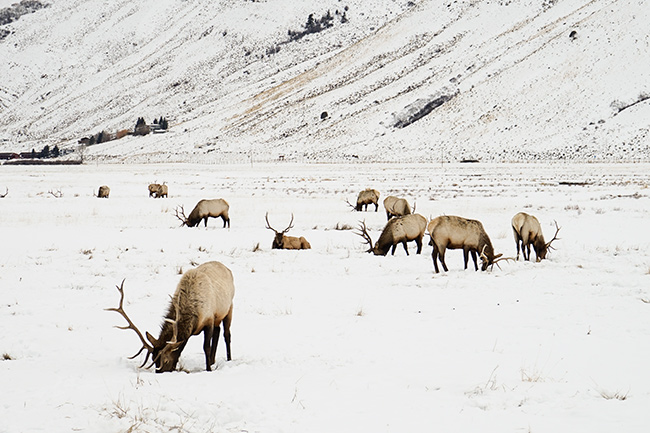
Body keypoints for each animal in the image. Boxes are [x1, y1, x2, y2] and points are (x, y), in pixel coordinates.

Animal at [107, 260, 235, 372]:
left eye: (166, 361)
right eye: (153, 359)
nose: (160, 372)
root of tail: (227, 268)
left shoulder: (209, 320)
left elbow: (206, 347)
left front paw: (208, 369)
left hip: (229, 307)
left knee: (226, 334)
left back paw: (229, 359)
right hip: (219, 316)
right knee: (218, 331)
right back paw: (213, 361)